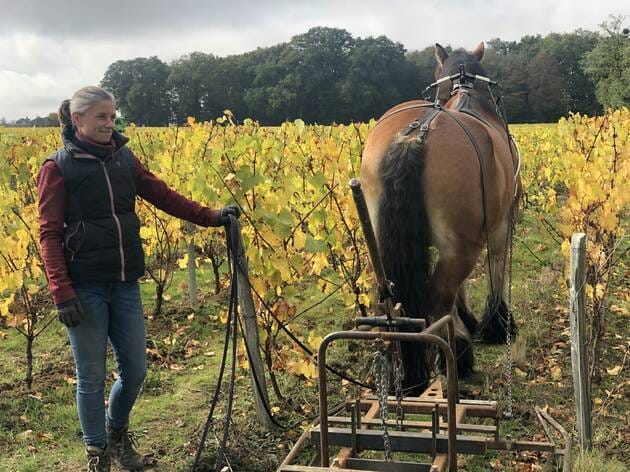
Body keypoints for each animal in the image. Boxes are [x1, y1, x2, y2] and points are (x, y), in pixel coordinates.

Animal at [360, 42, 524, 392]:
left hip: (380, 242)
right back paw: (457, 354)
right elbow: (497, 267)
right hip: (463, 246)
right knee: (438, 297)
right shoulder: (502, 223)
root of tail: (414, 136)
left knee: (388, 297)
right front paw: (497, 324)